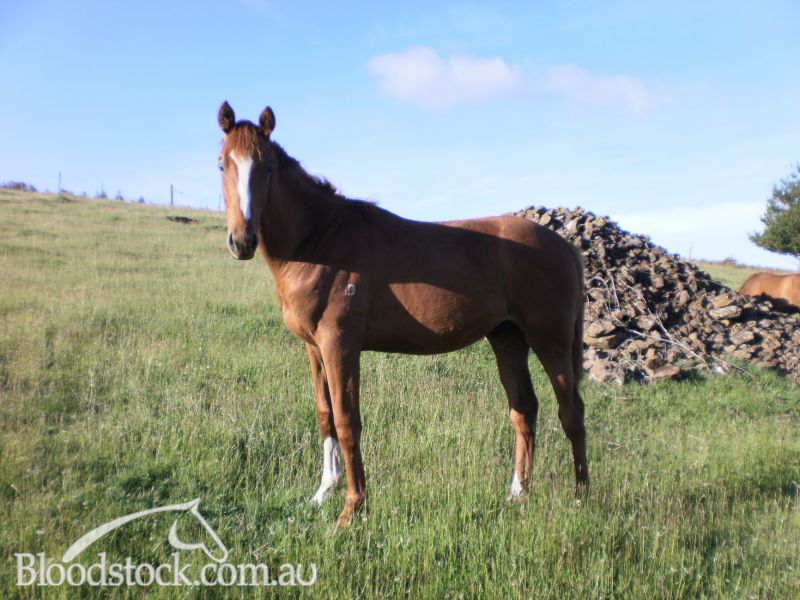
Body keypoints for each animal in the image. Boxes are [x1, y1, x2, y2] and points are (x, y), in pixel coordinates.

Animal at [216, 101, 589, 527]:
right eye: (222, 164)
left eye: (267, 167)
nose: (242, 241)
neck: (318, 241)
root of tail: (565, 246)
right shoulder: (314, 348)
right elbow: (325, 414)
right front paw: (323, 493)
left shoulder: (340, 345)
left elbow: (347, 421)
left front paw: (351, 509)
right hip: (508, 339)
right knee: (524, 410)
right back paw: (518, 494)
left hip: (550, 341)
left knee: (571, 412)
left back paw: (582, 497)